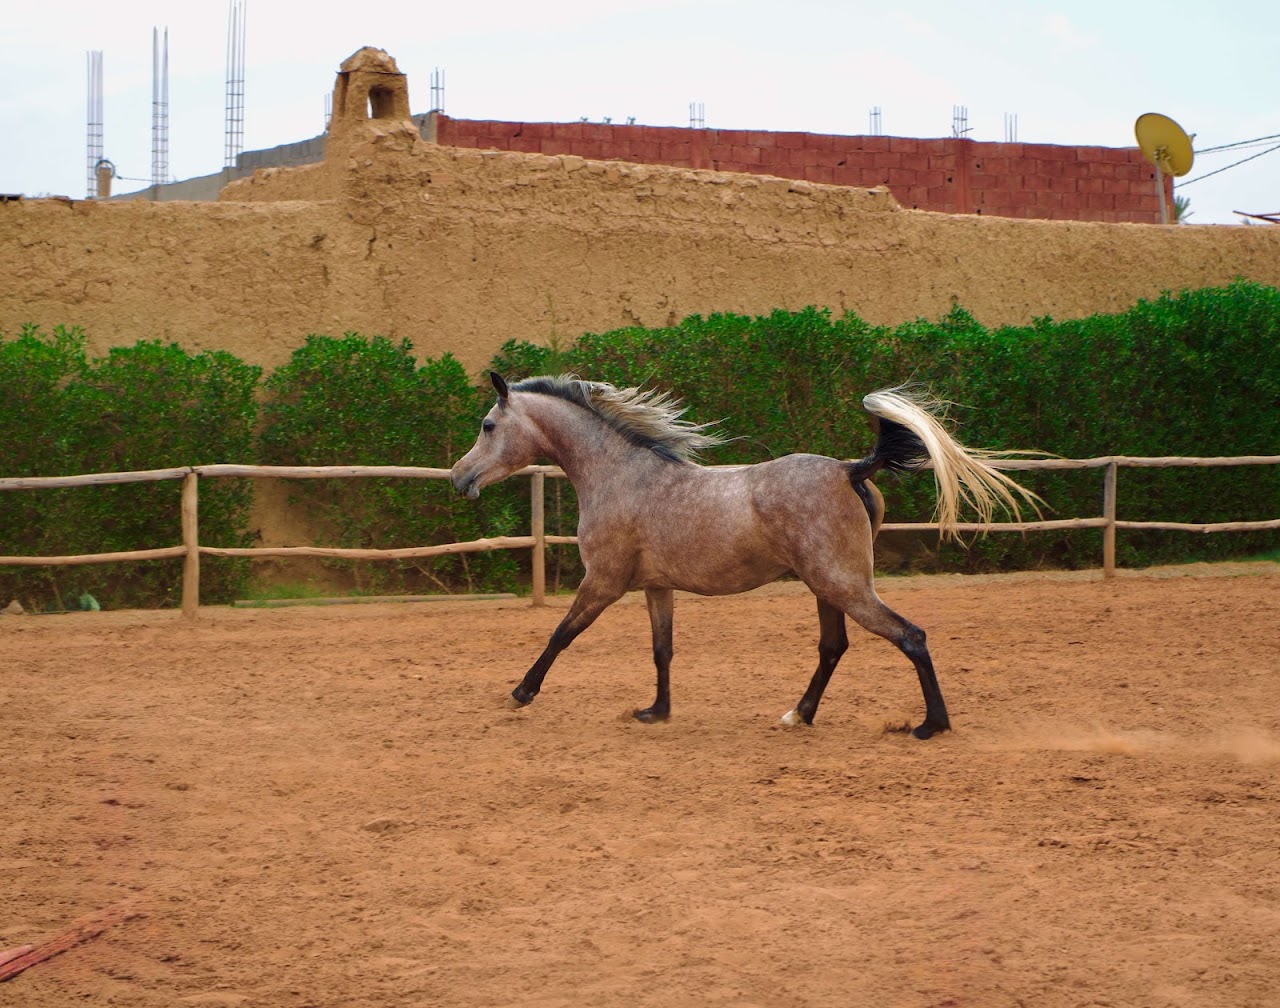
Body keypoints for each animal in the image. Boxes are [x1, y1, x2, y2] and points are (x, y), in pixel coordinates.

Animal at [450, 372, 1041, 739]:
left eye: (487, 425)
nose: (459, 478)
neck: (619, 475)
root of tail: (850, 469)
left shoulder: (604, 582)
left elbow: (561, 634)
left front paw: (520, 693)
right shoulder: (656, 586)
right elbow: (662, 650)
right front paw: (656, 712)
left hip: (843, 583)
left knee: (909, 636)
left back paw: (930, 725)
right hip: (825, 585)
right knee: (834, 647)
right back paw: (797, 715)